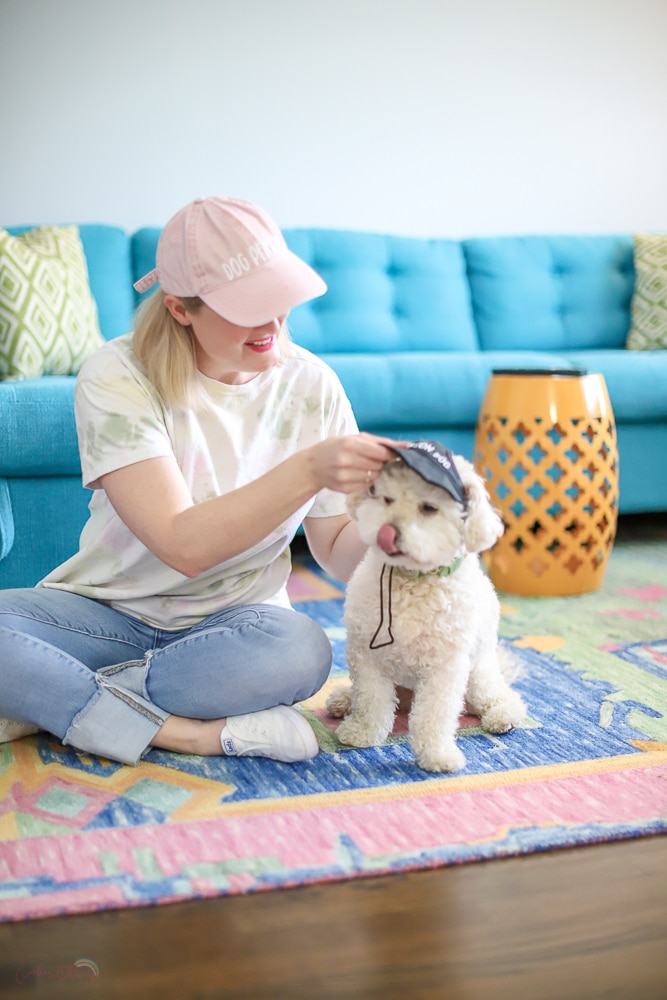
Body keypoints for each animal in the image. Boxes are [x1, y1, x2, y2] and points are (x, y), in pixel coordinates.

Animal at [328, 440, 528, 772]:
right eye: (387, 498)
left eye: (429, 508)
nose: (387, 532)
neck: (413, 580)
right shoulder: (367, 656)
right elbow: (371, 701)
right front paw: (361, 732)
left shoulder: (445, 669)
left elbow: (434, 716)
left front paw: (437, 755)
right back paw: (343, 700)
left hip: (478, 675)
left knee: (499, 696)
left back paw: (504, 716)